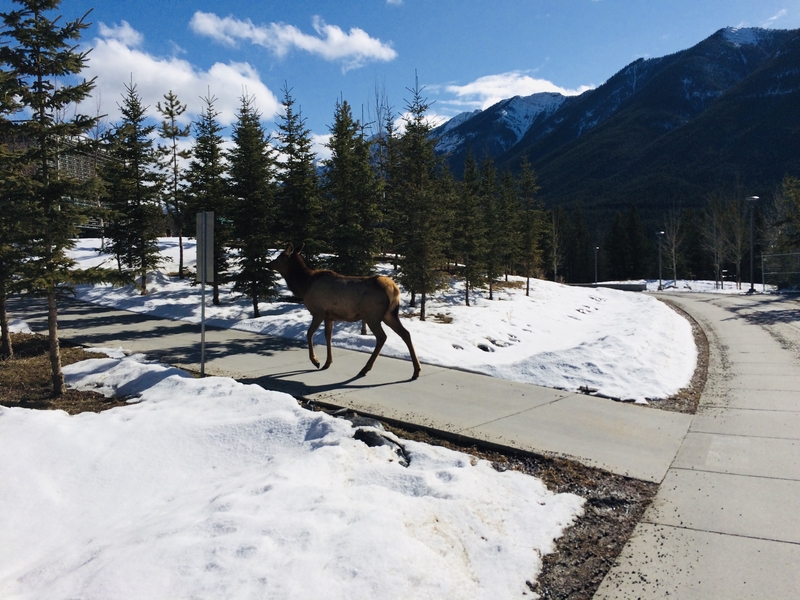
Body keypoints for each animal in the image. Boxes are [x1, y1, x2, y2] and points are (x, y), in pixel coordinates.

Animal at [268, 244, 422, 380]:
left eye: (280, 257)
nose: (269, 264)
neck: (304, 286)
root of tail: (394, 289)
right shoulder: (329, 316)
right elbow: (328, 336)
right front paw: (327, 362)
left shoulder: (318, 312)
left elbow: (309, 333)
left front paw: (315, 361)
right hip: (389, 314)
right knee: (405, 333)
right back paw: (416, 371)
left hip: (372, 315)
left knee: (382, 337)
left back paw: (365, 369)